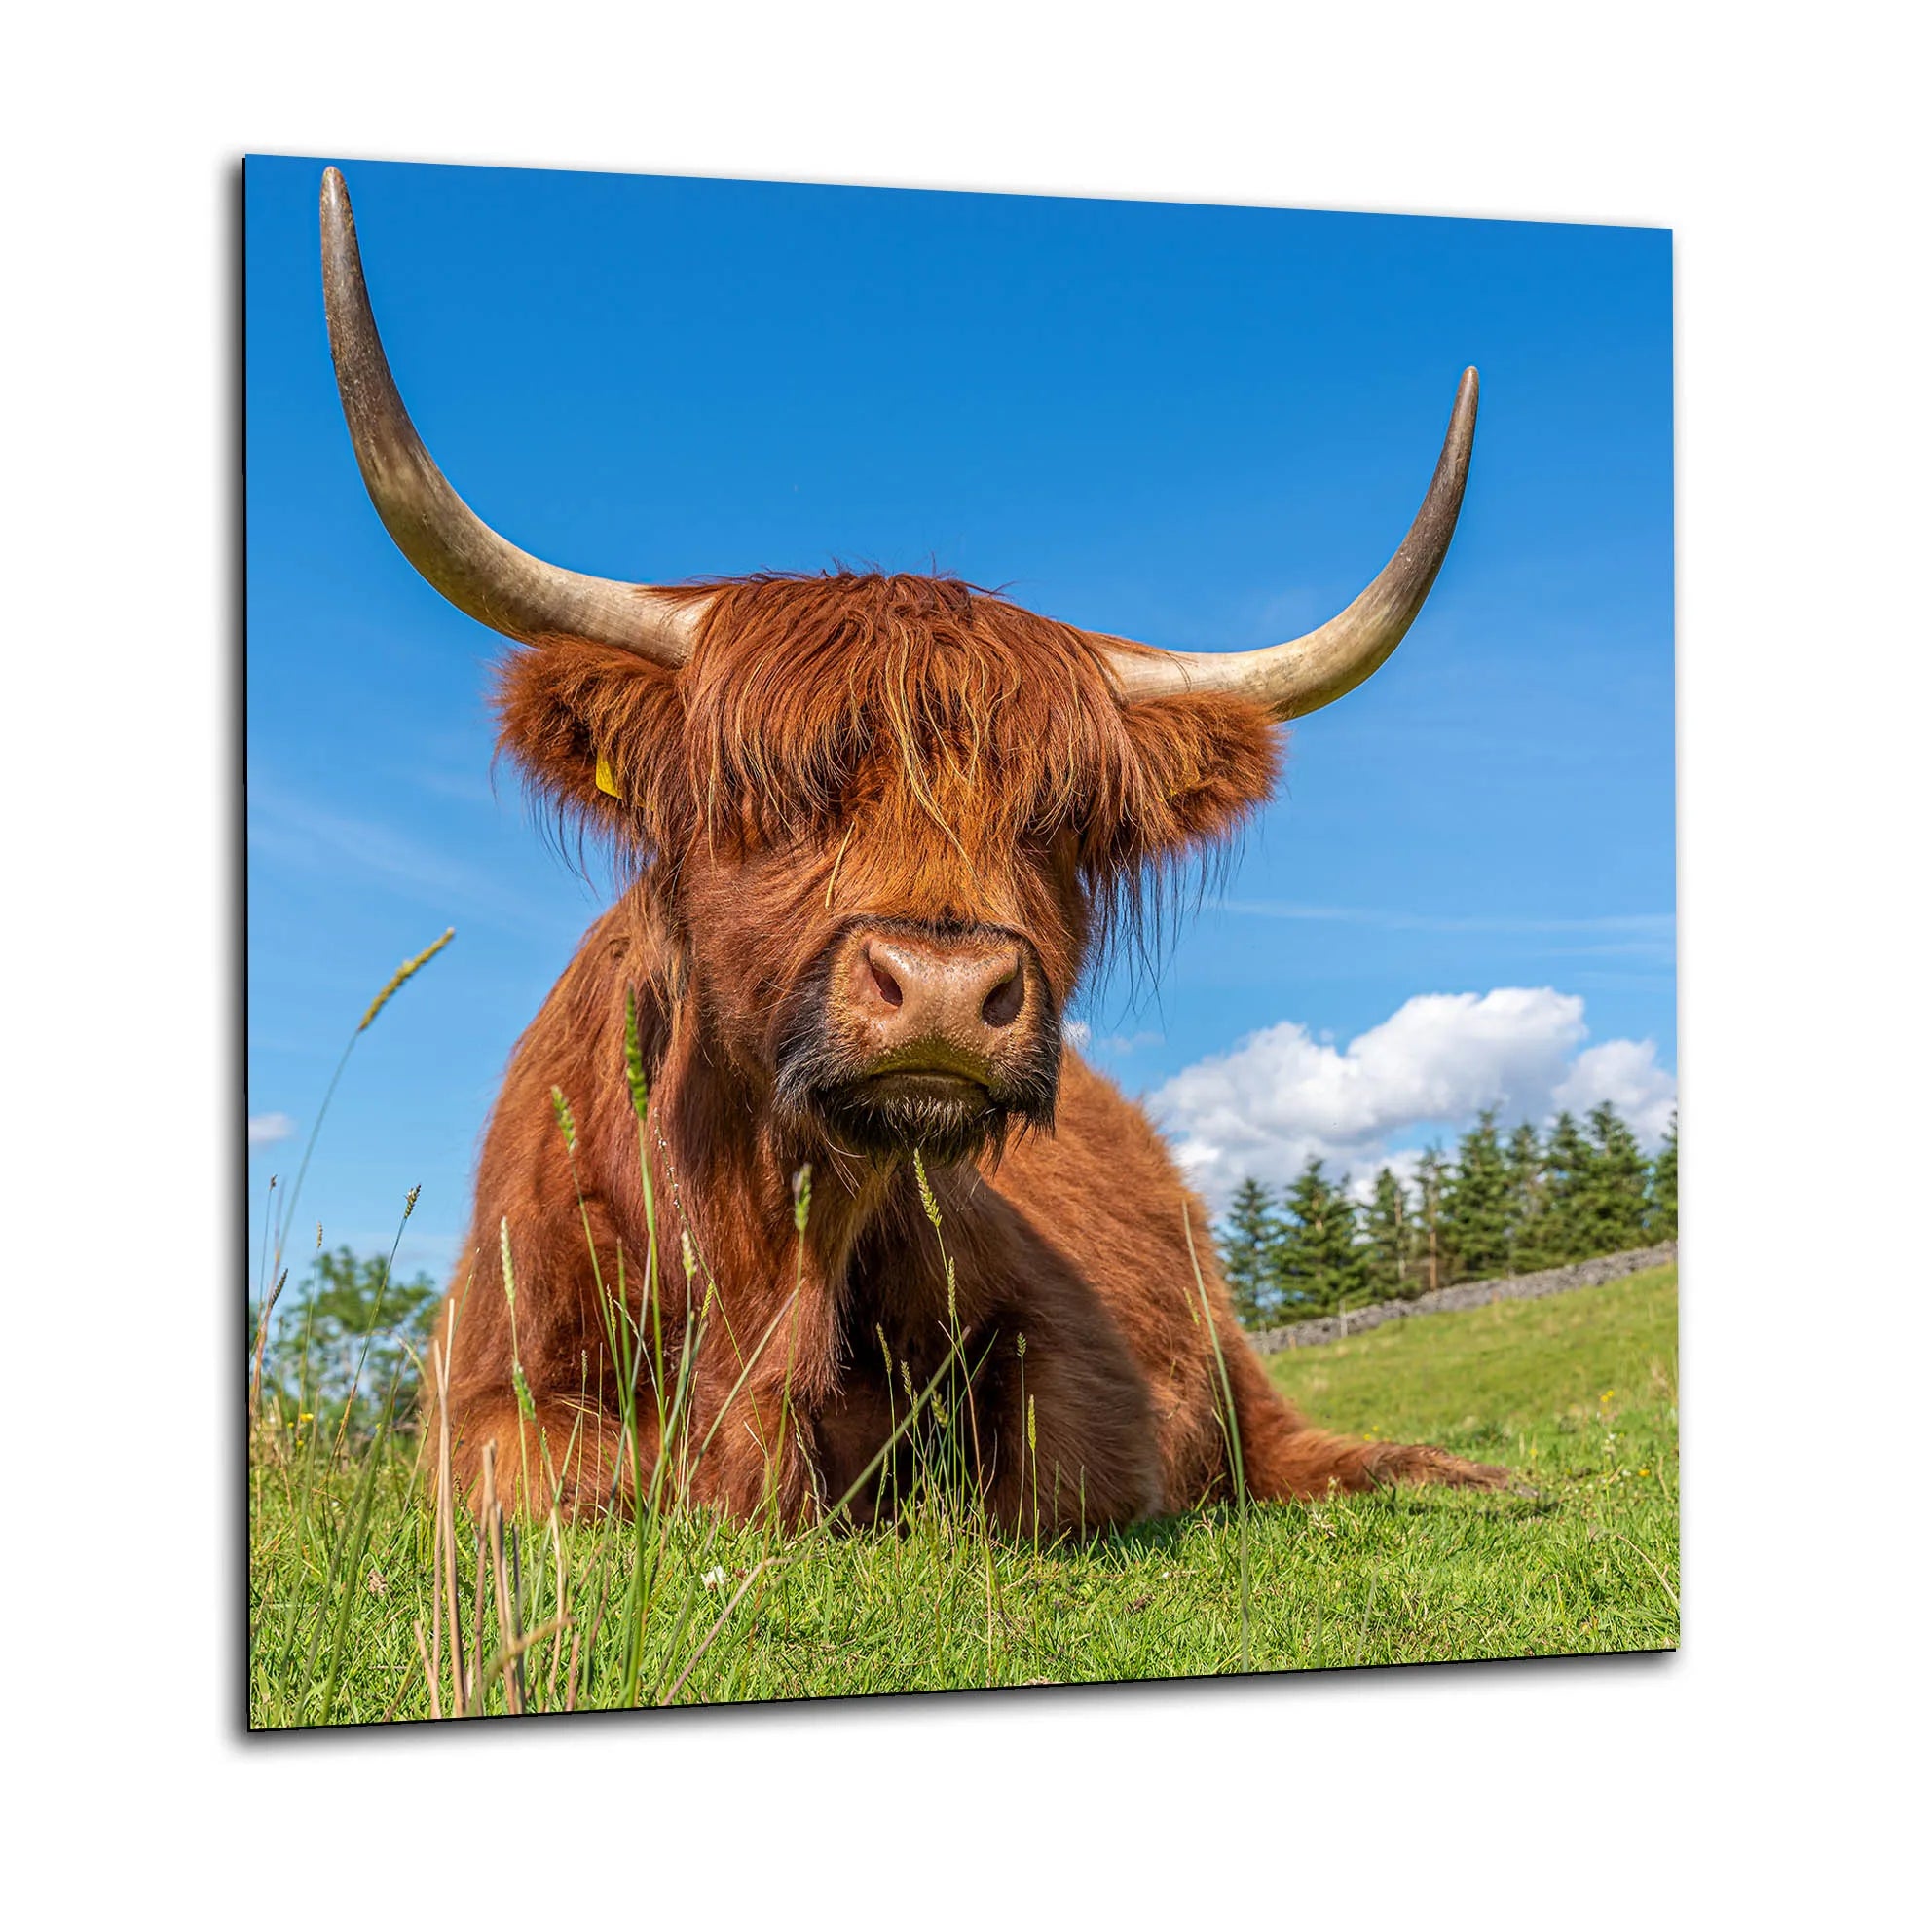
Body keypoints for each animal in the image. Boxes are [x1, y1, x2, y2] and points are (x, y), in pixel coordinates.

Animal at [318, 166, 1509, 1535]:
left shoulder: (1082, 1367)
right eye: (776, 793)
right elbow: (558, 1483)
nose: (944, 990)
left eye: (1057, 820)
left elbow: (1026, 1478)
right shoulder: (478, 1390)